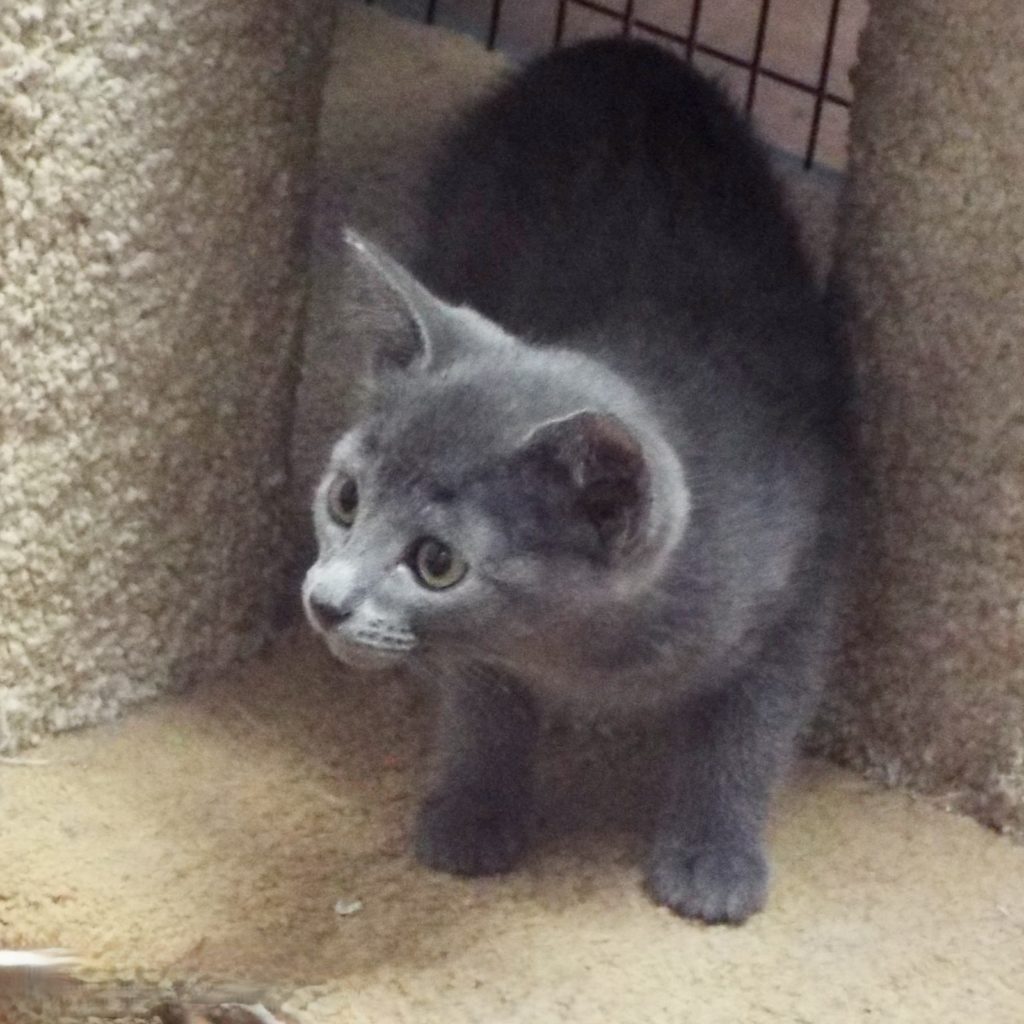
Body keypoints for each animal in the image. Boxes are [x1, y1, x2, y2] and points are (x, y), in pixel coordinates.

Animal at [303, 38, 852, 923]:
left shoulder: (807, 576)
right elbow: (484, 704)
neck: (594, 655)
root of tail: (615, 46)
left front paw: (713, 854)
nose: (325, 601)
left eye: (436, 563)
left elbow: (752, 726)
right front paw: (475, 810)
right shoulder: (485, 658)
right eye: (346, 500)